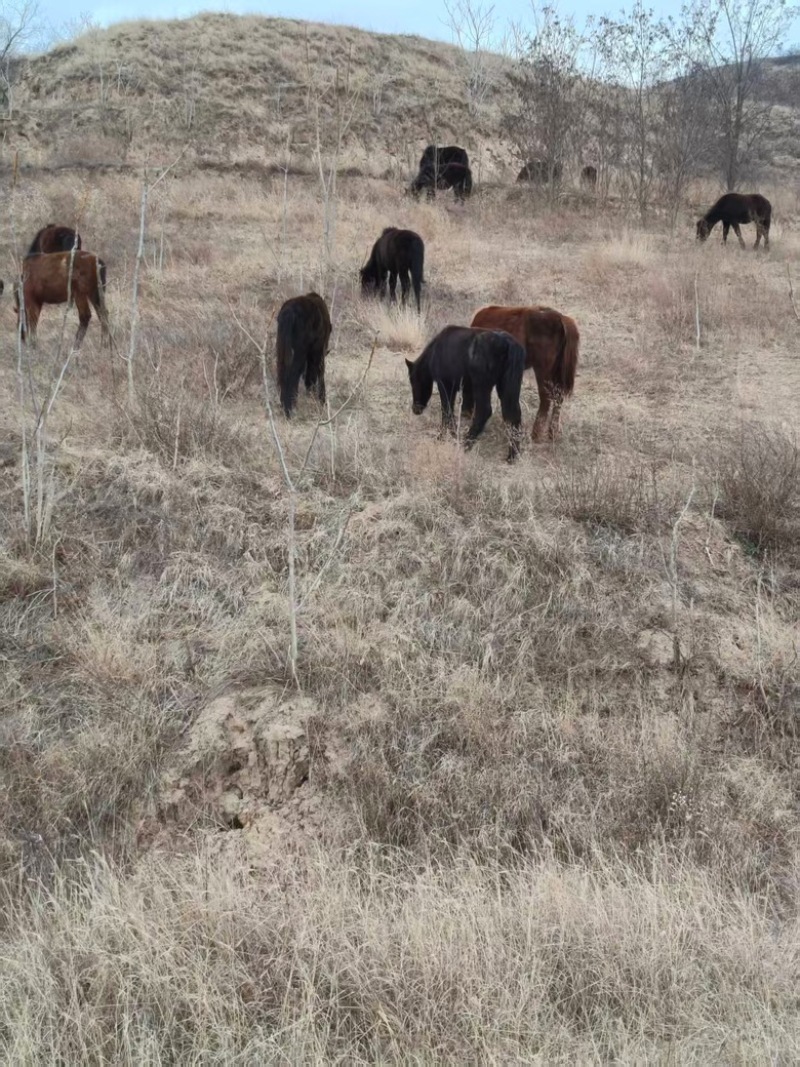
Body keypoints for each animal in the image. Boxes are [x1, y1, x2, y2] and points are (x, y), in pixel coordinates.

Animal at [405, 325, 525, 463]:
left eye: (414, 380)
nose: (415, 409)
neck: (433, 355)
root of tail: (507, 345)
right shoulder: (466, 388)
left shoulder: (445, 384)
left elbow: (446, 411)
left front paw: (444, 436)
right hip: (508, 386)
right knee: (513, 414)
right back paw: (513, 455)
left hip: (482, 384)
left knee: (484, 411)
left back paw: (466, 443)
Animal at [469, 305, 579, 442]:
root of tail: (560, 318)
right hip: (556, 371)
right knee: (558, 397)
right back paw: (552, 433)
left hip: (542, 370)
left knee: (546, 398)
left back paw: (536, 435)